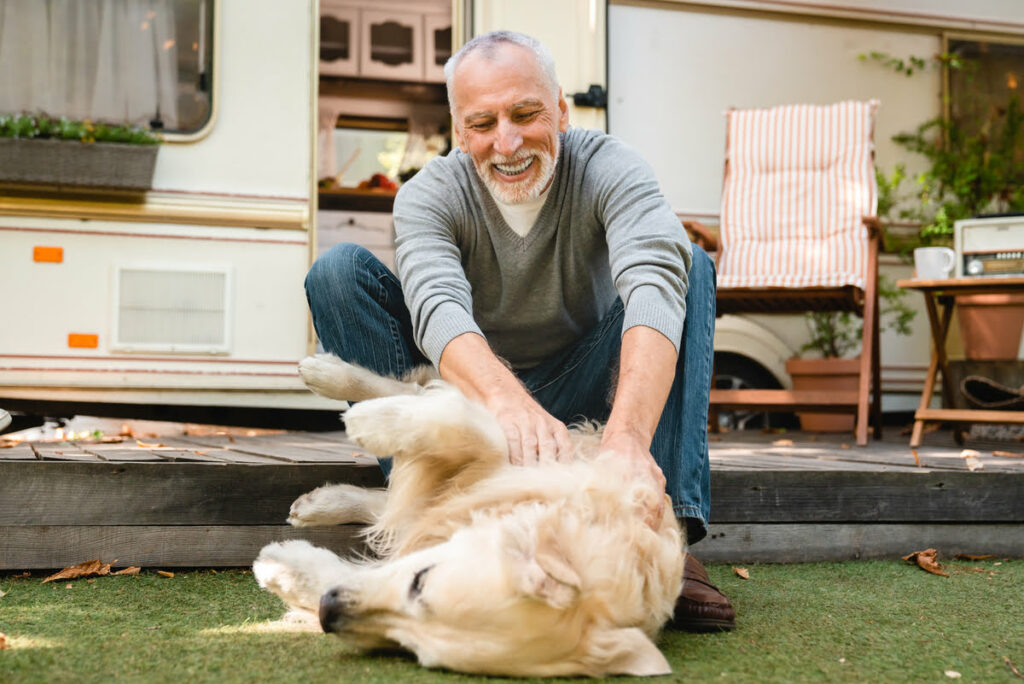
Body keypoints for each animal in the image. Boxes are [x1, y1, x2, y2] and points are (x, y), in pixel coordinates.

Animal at [253, 356, 688, 675]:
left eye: (410, 648)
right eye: (420, 581)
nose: (328, 613)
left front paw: (284, 569)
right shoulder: (527, 453)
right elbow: (462, 423)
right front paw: (371, 420)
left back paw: (318, 504)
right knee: (417, 393)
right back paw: (329, 376)